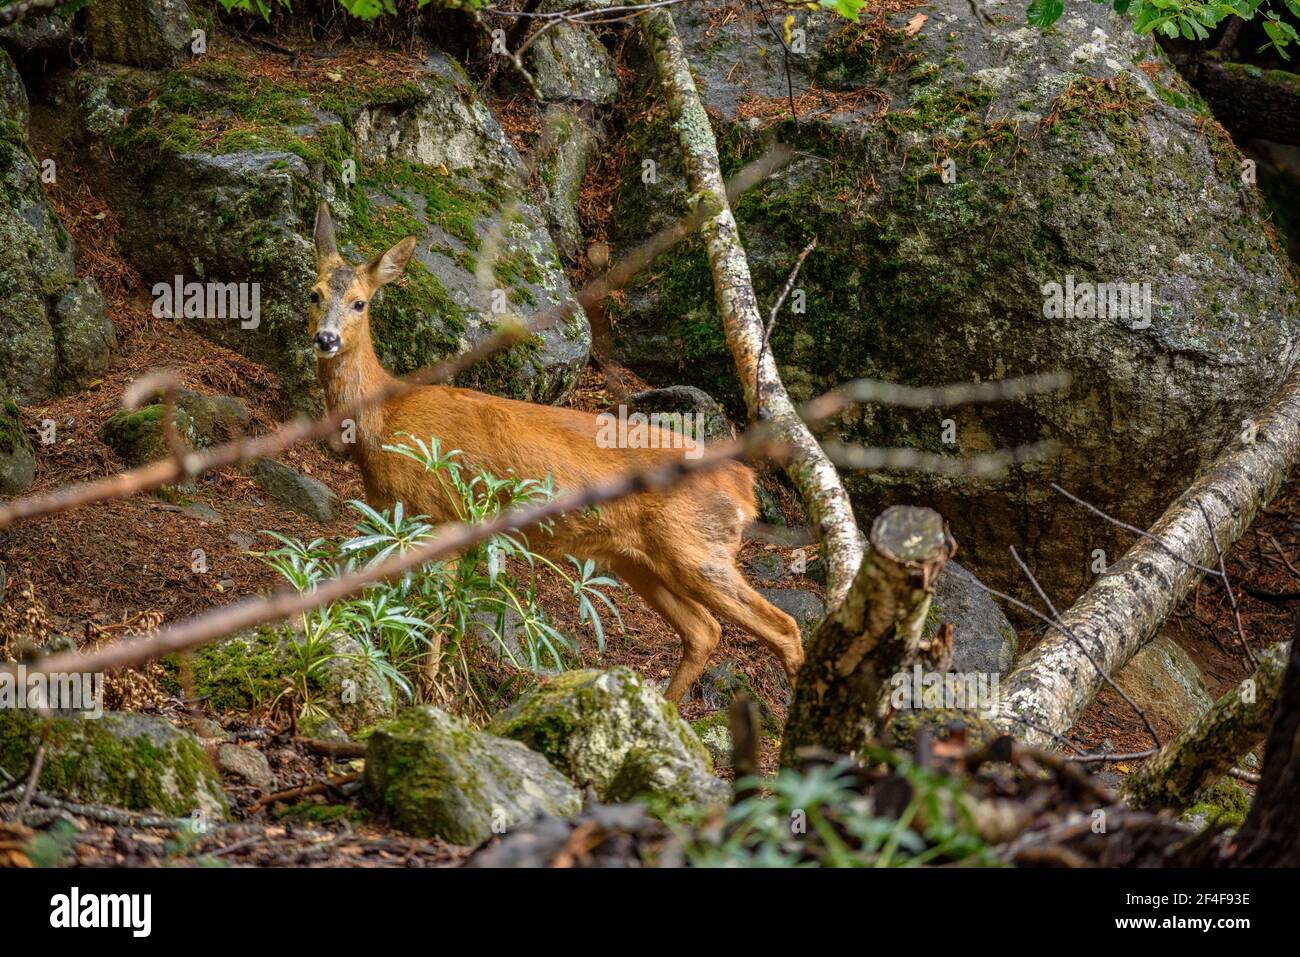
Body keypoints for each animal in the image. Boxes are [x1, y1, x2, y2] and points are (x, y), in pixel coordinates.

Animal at [309, 204, 806, 702]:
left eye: (360, 302)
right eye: (315, 294)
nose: (326, 339)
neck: (383, 417)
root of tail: (745, 486)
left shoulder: (442, 515)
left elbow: (437, 612)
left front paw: (433, 692)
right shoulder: (394, 518)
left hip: (698, 548)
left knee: (783, 627)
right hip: (638, 559)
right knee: (704, 630)